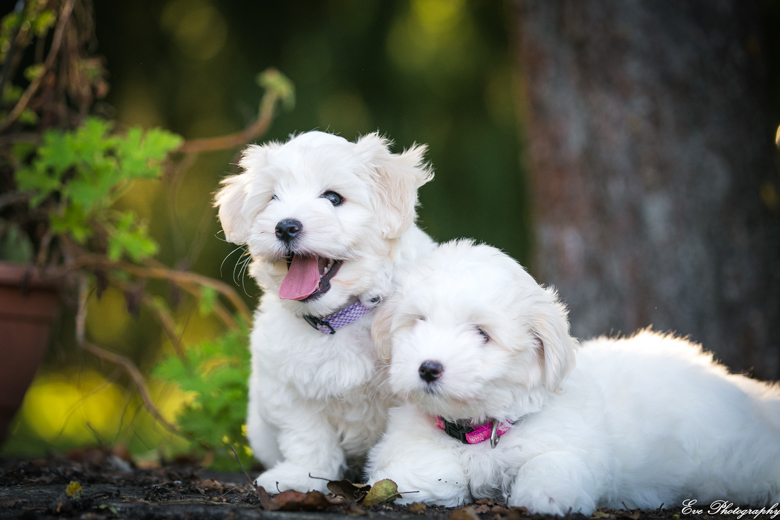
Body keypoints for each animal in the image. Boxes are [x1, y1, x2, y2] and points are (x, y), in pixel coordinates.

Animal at [213, 130, 436, 492]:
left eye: (333, 198)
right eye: (272, 198)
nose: (285, 227)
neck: (339, 317)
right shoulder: (287, 386)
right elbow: (307, 436)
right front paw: (299, 477)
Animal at [366, 240, 780, 516]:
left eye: (482, 333)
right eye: (419, 321)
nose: (427, 368)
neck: (483, 429)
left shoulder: (571, 444)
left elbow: (550, 462)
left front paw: (544, 496)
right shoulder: (410, 434)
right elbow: (421, 464)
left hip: (728, 457)